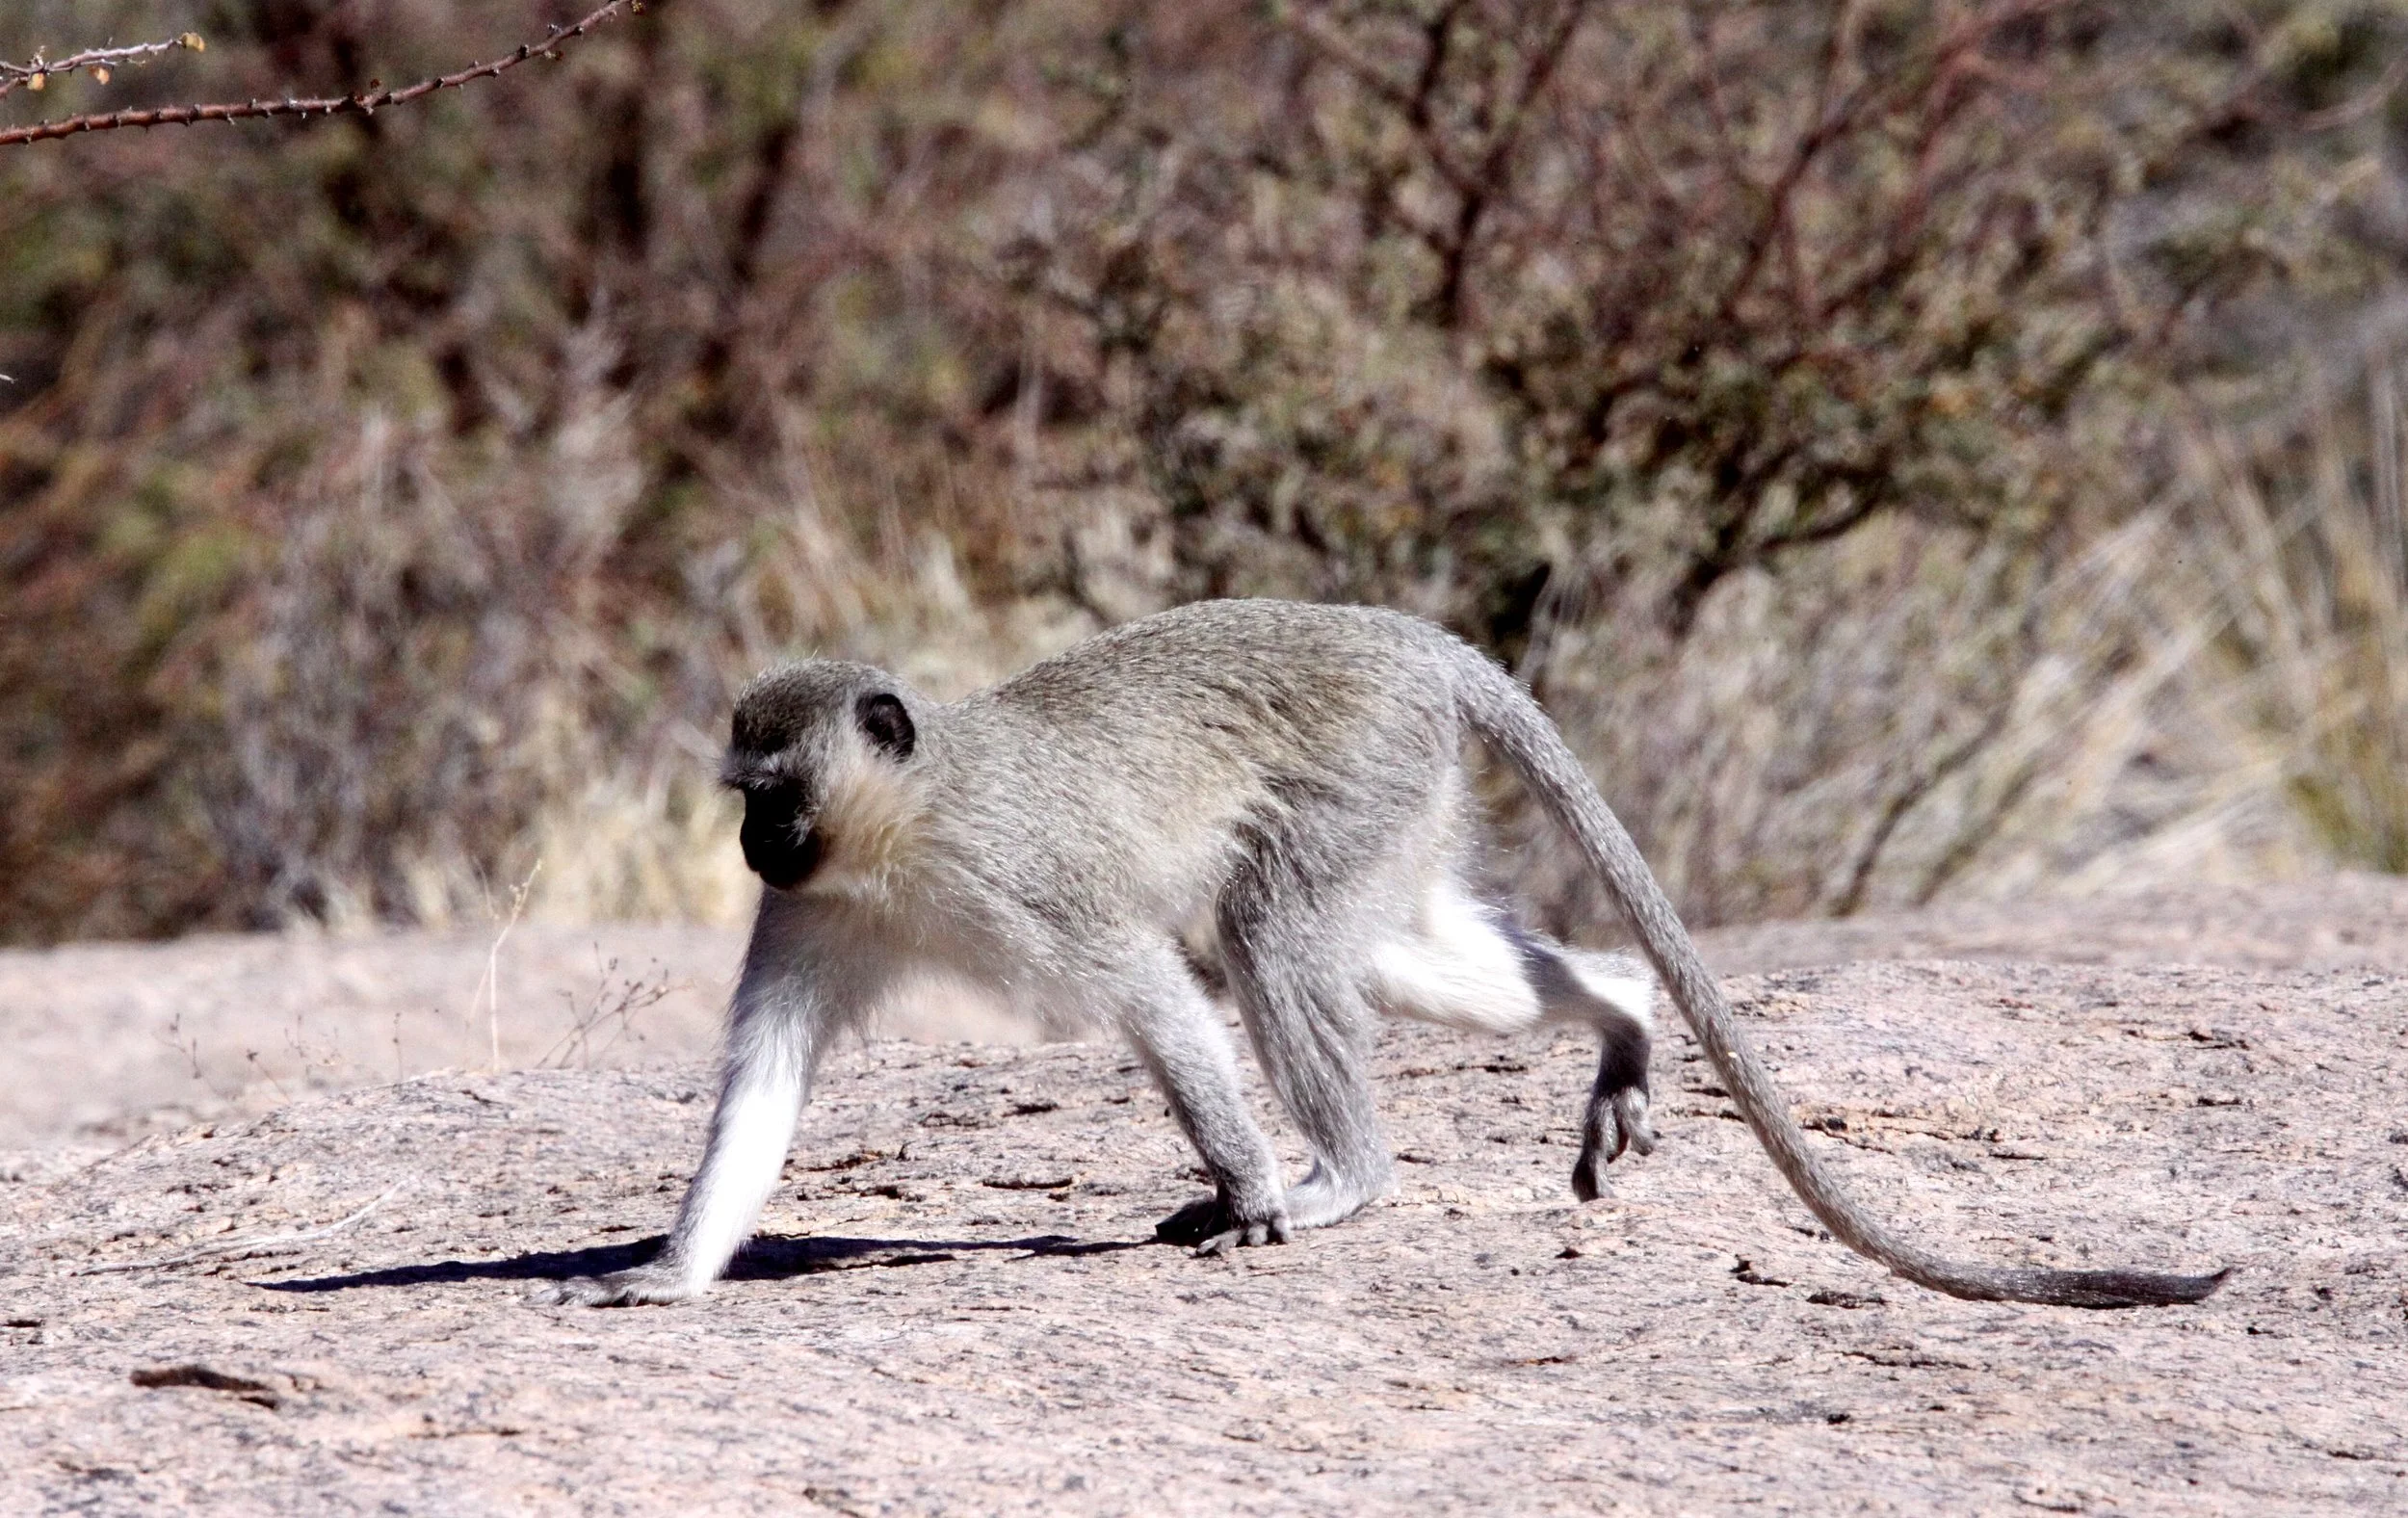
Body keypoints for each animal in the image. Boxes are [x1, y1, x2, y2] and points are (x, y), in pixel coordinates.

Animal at [530, 599, 2226, 1310]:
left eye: (776, 792)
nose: (752, 849)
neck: (900, 834)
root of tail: (1412, 637)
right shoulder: (817, 916)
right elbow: (765, 1083)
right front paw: (674, 1272)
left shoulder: (1032, 880)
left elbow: (1156, 993)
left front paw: (1254, 1191)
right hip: (1402, 806)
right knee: (1388, 955)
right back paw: (1622, 1020)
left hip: (1363, 766)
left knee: (1266, 943)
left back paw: (1346, 1176)